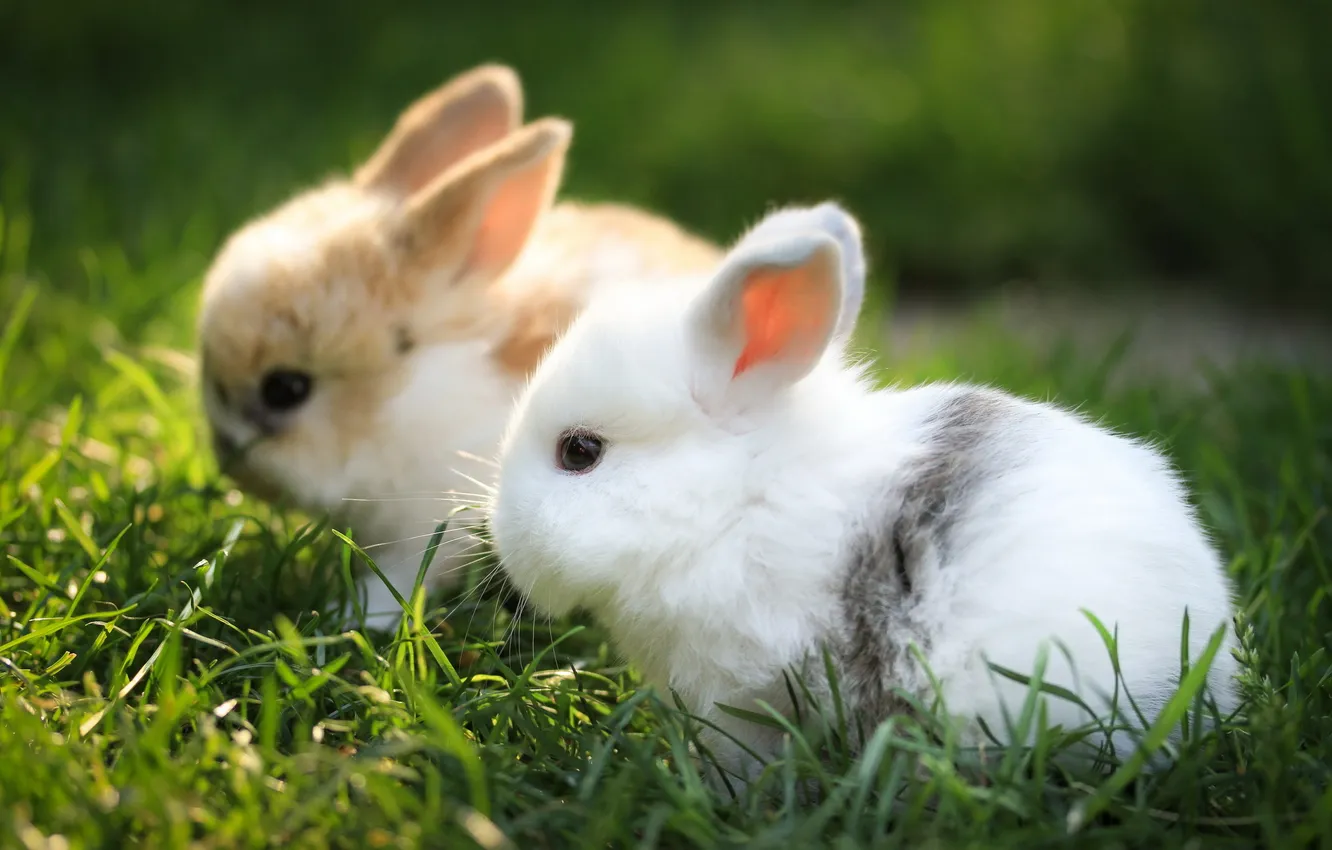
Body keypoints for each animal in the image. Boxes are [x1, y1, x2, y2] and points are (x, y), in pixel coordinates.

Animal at [197, 64, 721, 629]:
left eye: (286, 388)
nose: (230, 462)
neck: (407, 395)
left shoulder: (432, 520)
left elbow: (403, 575)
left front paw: (351, 618)